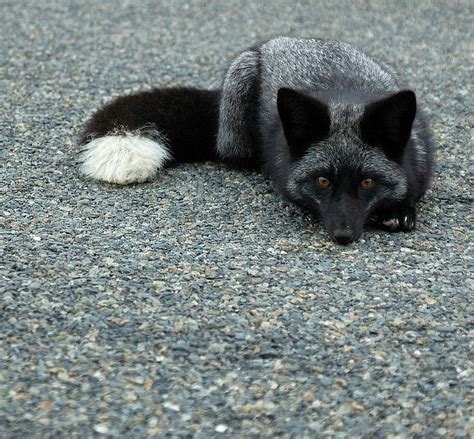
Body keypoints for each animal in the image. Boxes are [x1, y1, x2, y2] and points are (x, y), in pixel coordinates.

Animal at [77, 37, 434, 244]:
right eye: (322, 181)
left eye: (367, 183)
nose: (343, 235)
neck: (346, 99)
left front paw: (400, 209)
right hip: (240, 95)